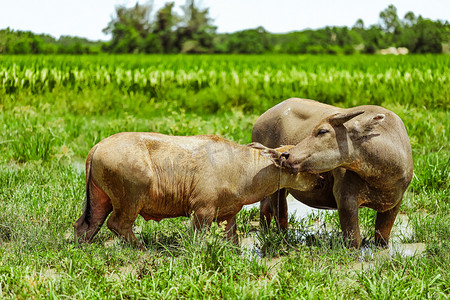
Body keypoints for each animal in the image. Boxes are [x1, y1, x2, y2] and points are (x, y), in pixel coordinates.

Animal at [74, 132, 320, 248]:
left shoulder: (228, 215)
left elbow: (232, 239)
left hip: (100, 199)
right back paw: (140, 248)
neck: (242, 168)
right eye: (307, 166)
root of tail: (98, 146)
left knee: (86, 224)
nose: (321, 181)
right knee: (118, 224)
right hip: (130, 200)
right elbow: (197, 238)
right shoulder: (202, 211)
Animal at [251, 98, 414, 248]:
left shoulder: (394, 204)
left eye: (322, 131)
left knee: (266, 208)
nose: (285, 155)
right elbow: (354, 240)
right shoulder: (345, 199)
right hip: (278, 189)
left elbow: (382, 238)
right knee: (281, 215)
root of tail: (260, 120)